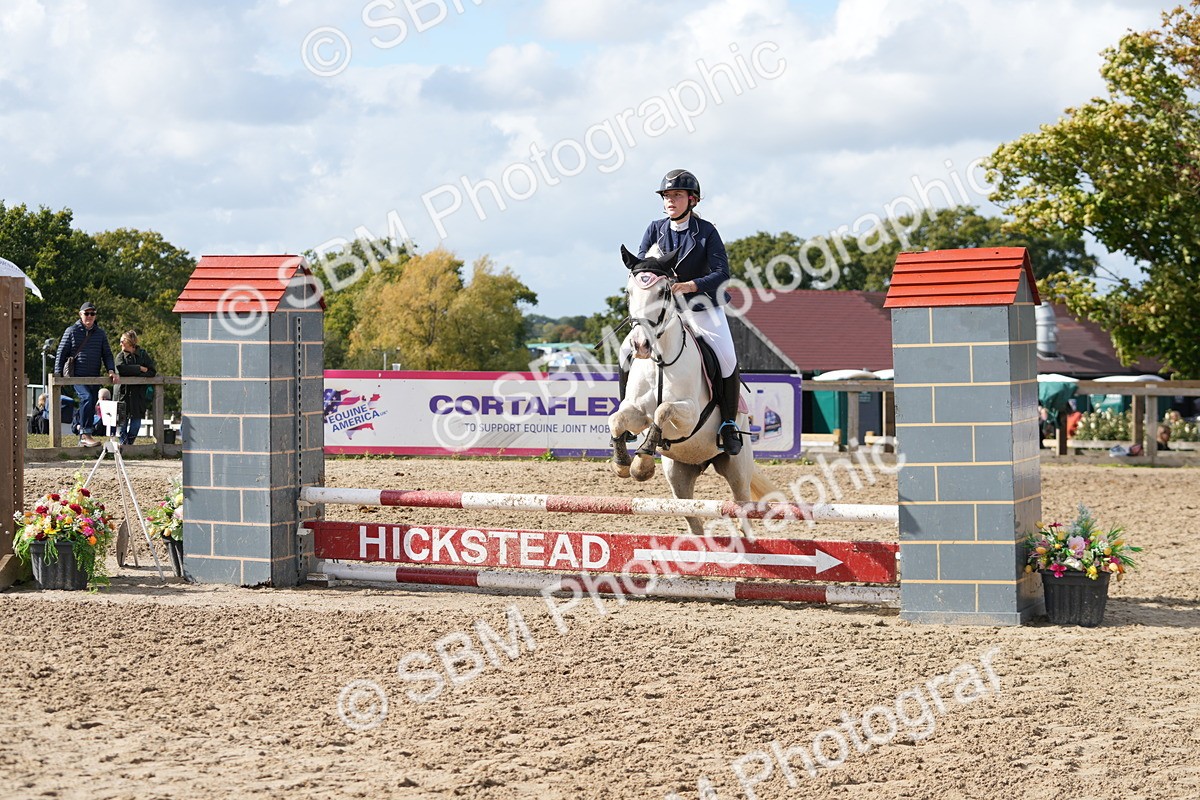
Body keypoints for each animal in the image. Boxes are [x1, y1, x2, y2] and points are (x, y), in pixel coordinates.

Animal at [608, 244, 778, 536]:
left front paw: (642, 463)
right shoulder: (637, 412)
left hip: (737, 468)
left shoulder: (690, 417)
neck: (660, 360)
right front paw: (623, 463)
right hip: (679, 475)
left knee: (742, 508)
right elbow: (617, 418)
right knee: (693, 519)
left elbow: (663, 410)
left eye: (663, 292)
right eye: (628, 292)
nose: (640, 345)